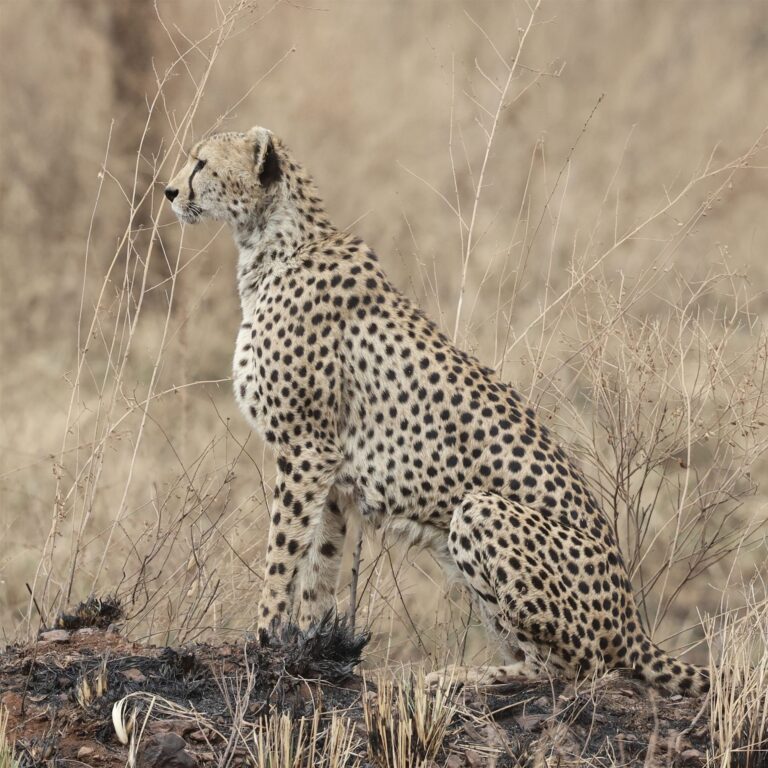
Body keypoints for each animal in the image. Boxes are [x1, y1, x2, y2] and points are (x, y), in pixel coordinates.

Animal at [164, 126, 710, 696]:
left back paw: (463, 676)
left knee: (573, 666)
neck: (273, 241)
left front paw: (264, 635)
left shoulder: (307, 448)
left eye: (200, 162)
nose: (169, 191)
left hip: (479, 510)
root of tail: (632, 621)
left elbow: (281, 552)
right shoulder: (329, 472)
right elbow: (319, 565)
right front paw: (307, 646)